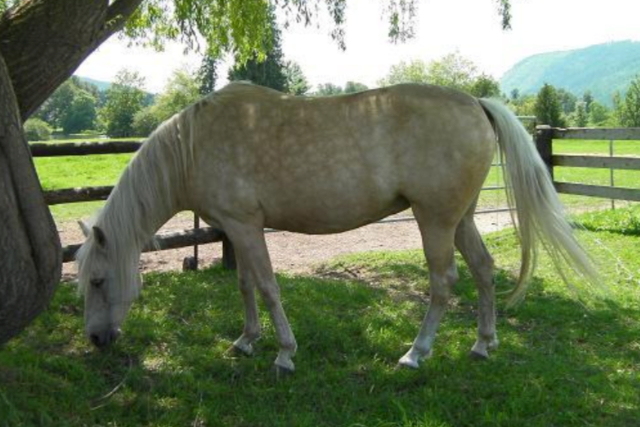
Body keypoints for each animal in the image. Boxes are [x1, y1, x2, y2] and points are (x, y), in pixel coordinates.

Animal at [76, 82, 596, 373]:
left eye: (98, 280)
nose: (96, 340)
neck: (195, 145)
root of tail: (475, 103)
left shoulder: (245, 227)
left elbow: (268, 287)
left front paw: (284, 353)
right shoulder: (236, 229)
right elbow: (245, 285)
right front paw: (246, 341)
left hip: (434, 220)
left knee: (443, 282)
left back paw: (416, 353)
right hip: (460, 219)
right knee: (485, 271)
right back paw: (483, 345)